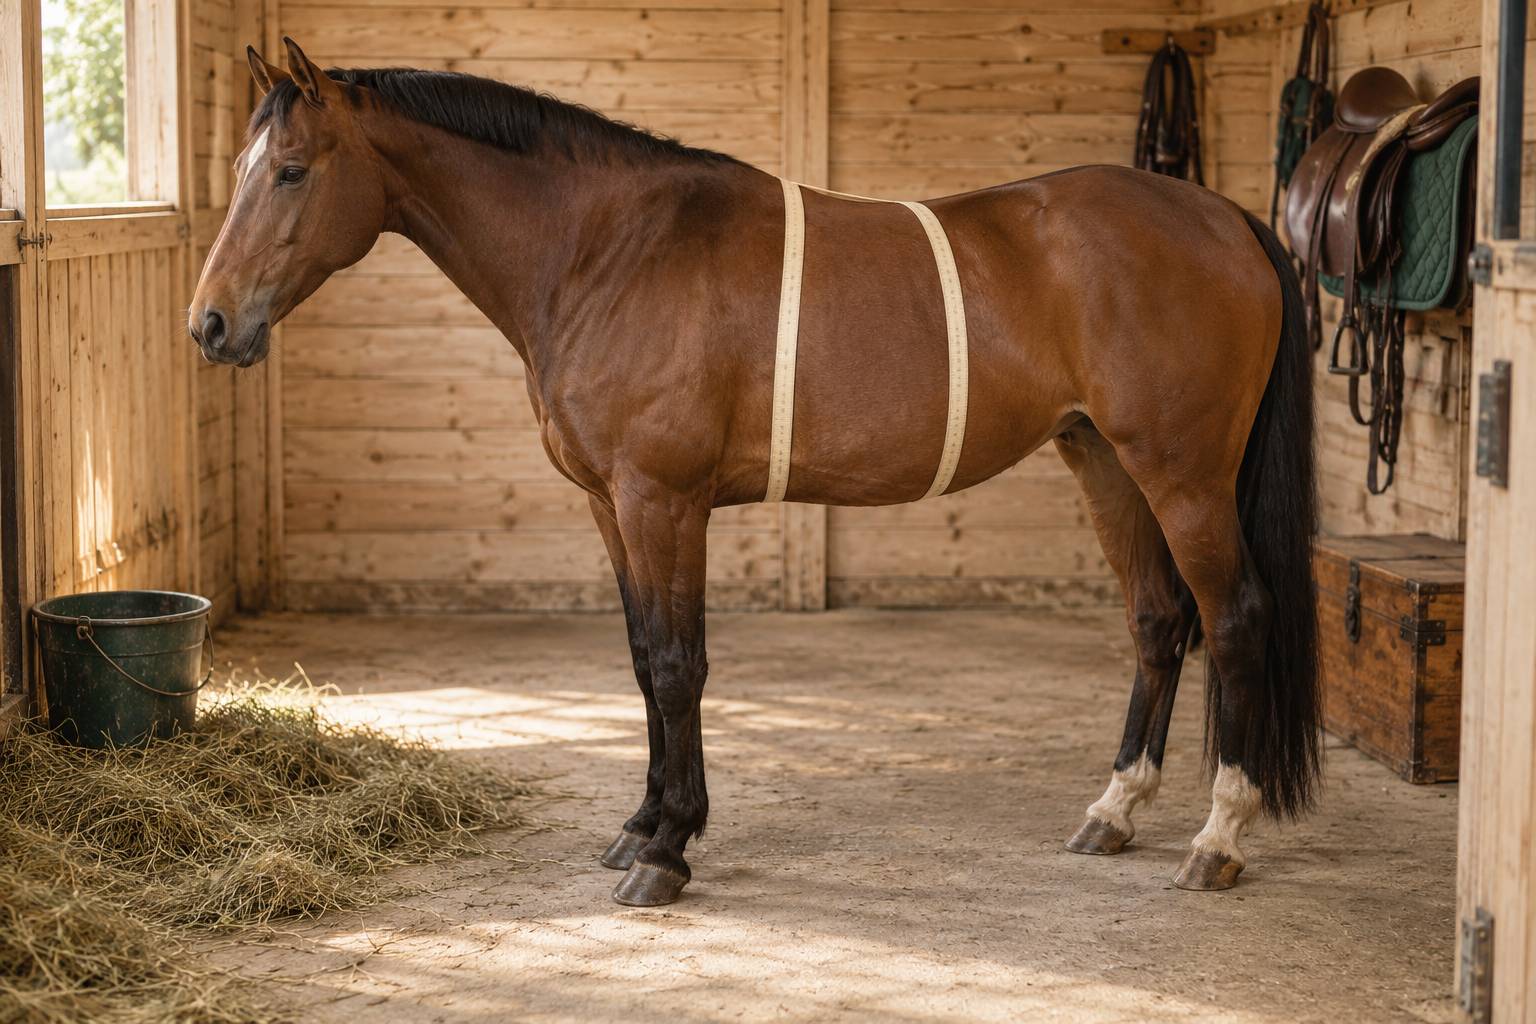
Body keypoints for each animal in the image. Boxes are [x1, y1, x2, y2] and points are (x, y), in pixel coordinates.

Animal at [190, 38, 1322, 907]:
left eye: (291, 170)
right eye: (245, 165)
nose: (210, 324)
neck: (609, 251)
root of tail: (1226, 216)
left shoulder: (663, 500)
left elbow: (679, 664)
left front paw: (667, 850)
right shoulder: (611, 506)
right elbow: (643, 657)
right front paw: (642, 821)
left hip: (1182, 475)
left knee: (1235, 619)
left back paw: (1217, 839)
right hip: (1105, 461)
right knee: (1159, 622)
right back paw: (1115, 810)